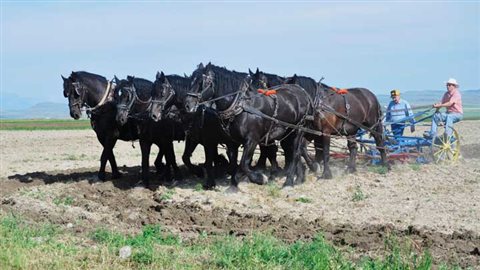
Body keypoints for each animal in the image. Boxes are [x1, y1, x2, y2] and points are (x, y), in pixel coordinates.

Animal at [184, 64, 312, 189]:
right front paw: (234, 185)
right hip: (286, 134)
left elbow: (243, 164)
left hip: (298, 130)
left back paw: (289, 182)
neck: (241, 106)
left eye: (202, 82)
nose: (187, 105)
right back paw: (299, 178)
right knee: (292, 151)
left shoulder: (252, 140)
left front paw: (260, 178)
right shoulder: (232, 142)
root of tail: (301, 91)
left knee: (295, 153)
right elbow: (235, 164)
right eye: (191, 80)